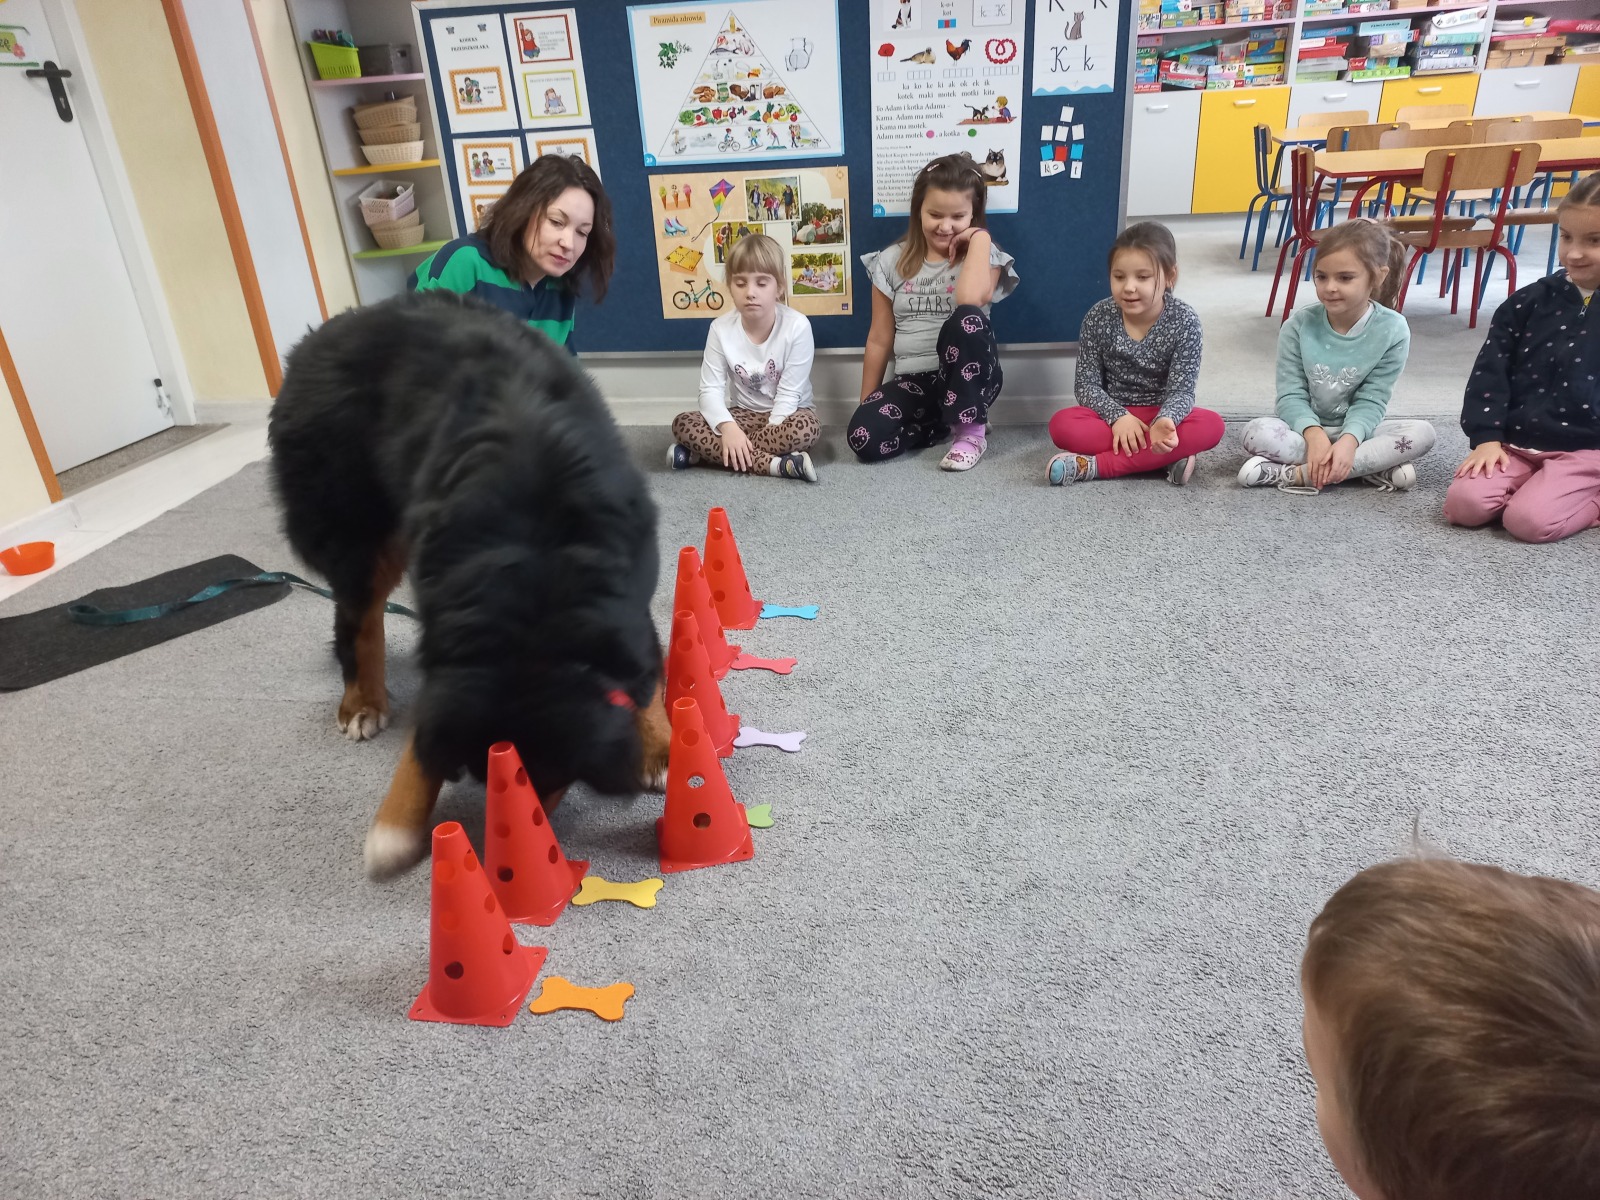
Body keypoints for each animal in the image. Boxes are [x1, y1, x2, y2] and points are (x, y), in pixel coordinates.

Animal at [268, 291, 671, 880]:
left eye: (555, 781)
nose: (528, 844)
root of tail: (312, 340)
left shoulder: (634, 587)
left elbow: (652, 676)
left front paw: (659, 745)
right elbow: (427, 733)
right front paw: (396, 823)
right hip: (363, 532)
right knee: (359, 618)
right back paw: (363, 698)